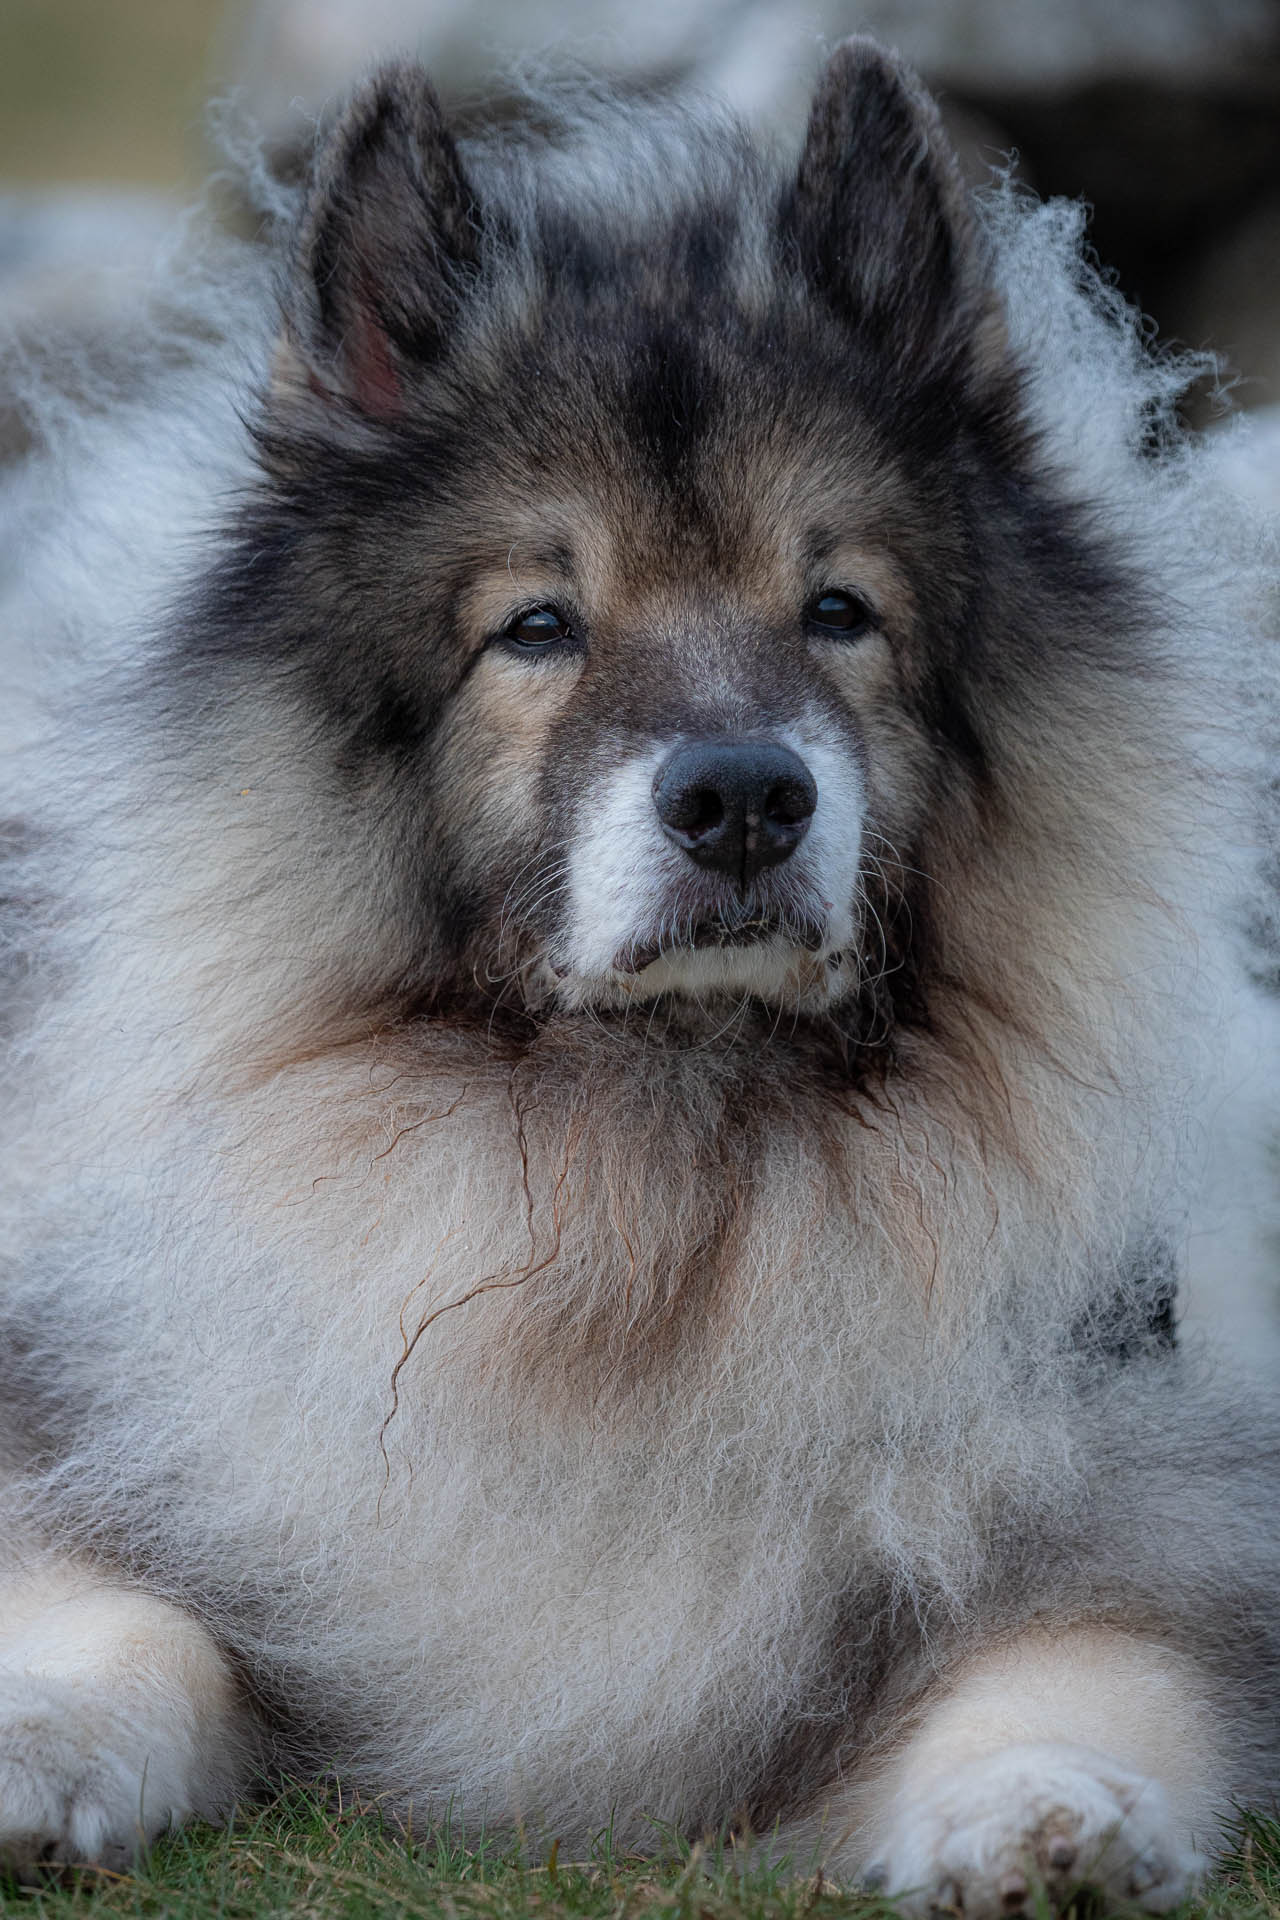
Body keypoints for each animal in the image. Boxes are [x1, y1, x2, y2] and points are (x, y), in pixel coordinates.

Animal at [2, 33, 1280, 1920]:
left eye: (840, 611)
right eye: (537, 627)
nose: (745, 797)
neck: (660, 1187)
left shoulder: (1162, 1510)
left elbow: (1091, 1665)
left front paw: (1047, 1817)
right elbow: (127, 1623)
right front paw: (35, 1746)